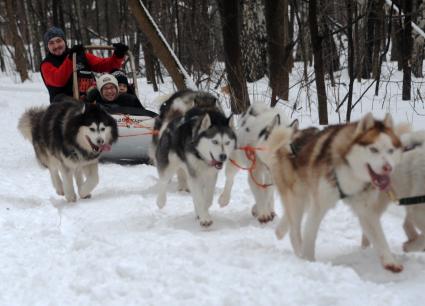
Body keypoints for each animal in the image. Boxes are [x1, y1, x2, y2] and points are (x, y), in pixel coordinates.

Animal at [264, 114, 402, 272]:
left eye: (391, 150)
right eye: (373, 149)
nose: (388, 168)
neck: (350, 172)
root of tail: (290, 136)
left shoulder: (366, 210)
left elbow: (380, 238)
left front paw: (390, 261)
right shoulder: (319, 206)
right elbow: (310, 236)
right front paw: (309, 261)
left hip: (305, 198)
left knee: (290, 219)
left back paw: (280, 231)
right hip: (297, 197)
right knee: (294, 230)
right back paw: (298, 252)